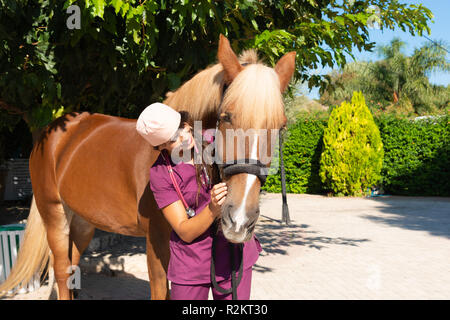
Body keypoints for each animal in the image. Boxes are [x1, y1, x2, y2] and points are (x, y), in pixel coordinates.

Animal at [0, 35, 296, 300]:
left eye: (281, 126)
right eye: (226, 117)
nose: (240, 220)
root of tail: (53, 132)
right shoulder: (156, 242)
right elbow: (160, 291)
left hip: (83, 221)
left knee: (72, 268)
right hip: (55, 215)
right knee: (62, 271)